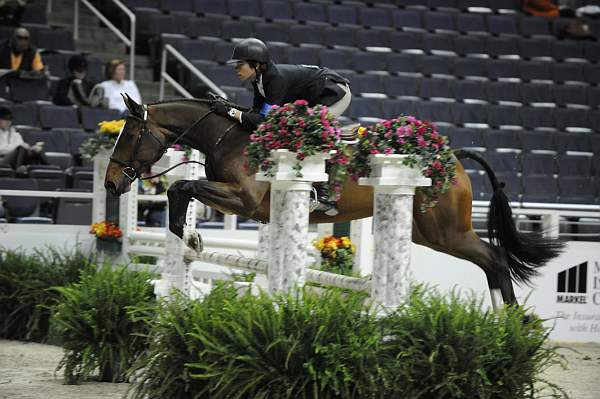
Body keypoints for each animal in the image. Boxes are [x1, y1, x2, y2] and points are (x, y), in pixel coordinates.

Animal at [104, 95, 564, 308]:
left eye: (130, 136)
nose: (110, 184)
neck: (229, 137)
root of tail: (450, 156)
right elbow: (180, 192)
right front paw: (189, 237)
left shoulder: (248, 201)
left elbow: (182, 188)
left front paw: (192, 239)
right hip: (430, 233)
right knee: (490, 261)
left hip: (446, 229)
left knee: (495, 258)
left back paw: (512, 324)